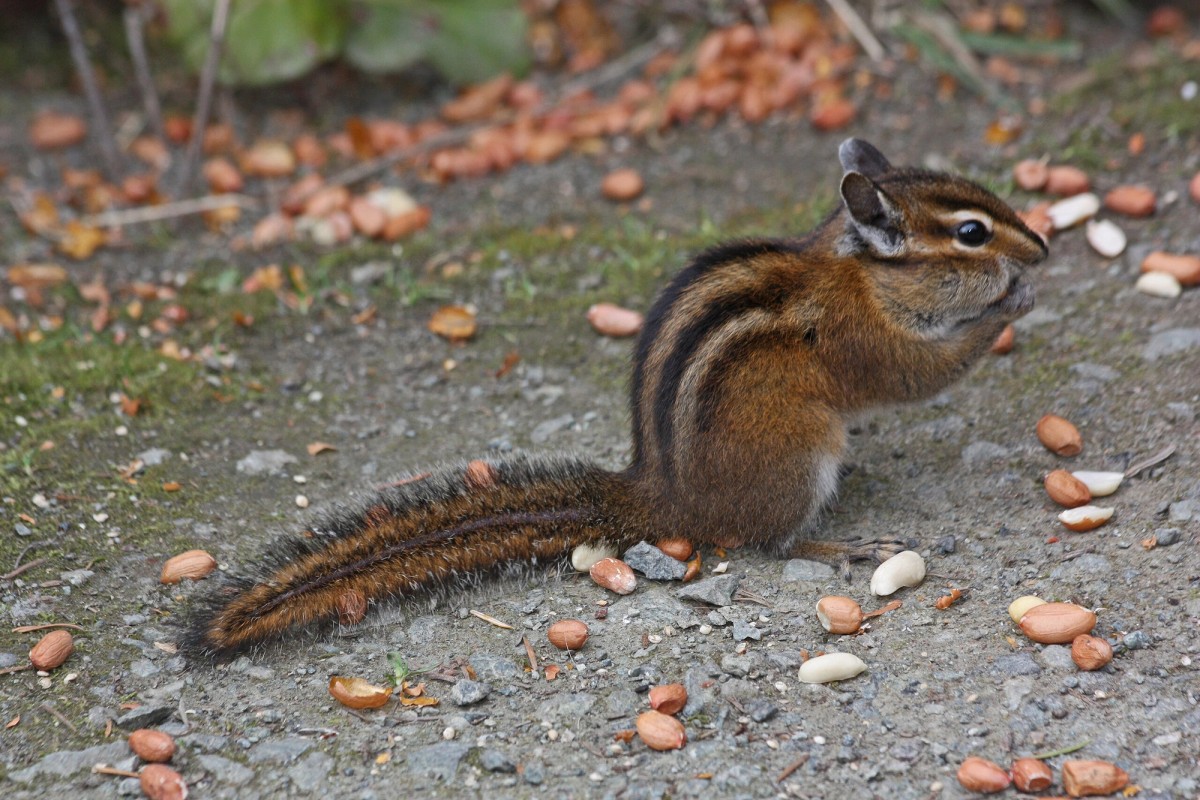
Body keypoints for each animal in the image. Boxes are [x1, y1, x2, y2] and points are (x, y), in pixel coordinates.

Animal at [185, 139, 1047, 661]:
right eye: (972, 233)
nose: (1040, 246)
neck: (860, 272)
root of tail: (660, 497)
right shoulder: (865, 340)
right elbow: (921, 374)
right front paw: (1011, 303)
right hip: (800, 456)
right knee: (772, 543)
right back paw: (839, 546)